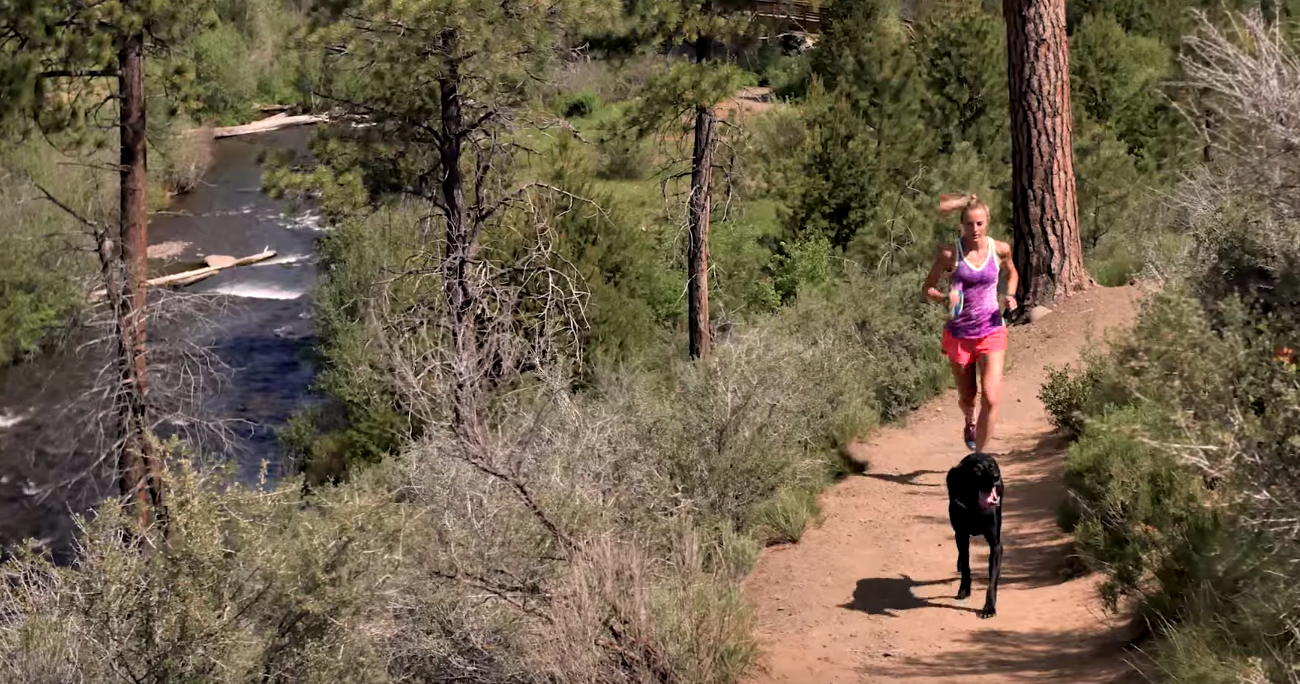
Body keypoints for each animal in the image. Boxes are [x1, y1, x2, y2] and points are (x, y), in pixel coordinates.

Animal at [945, 452, 1004, 618]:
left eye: (991, 466)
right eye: (976, 470)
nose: (996, 477)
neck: (974, 506)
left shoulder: (996, 545)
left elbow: (992, 580)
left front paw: (989, 607)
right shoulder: (961, 535)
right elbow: (966, 565)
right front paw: (964, 589)